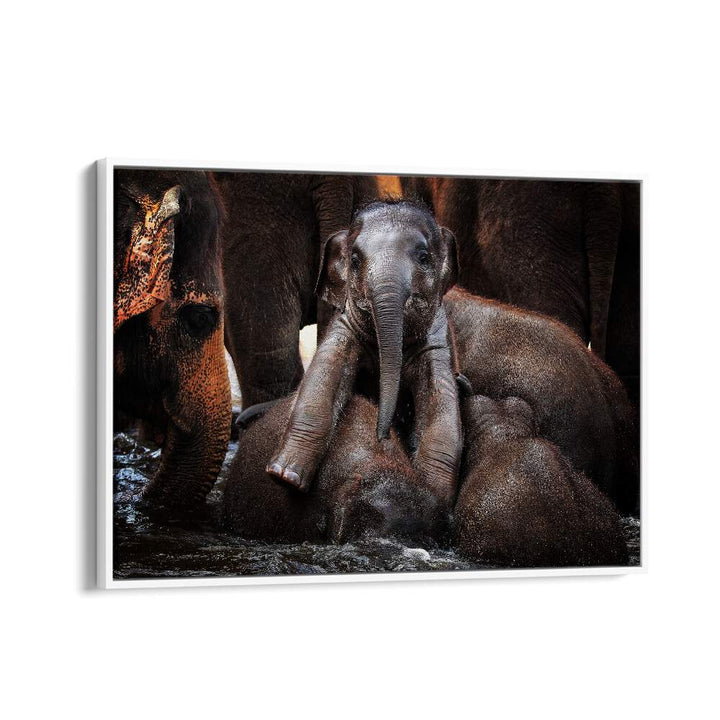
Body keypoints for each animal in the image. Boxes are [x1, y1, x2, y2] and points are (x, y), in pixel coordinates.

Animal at [265, 200, 463, 514]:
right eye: (356, 260)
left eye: (423, 257)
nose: (382, 434)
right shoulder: (344, 326)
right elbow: (322, 380)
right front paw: (285, 477)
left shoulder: (438, 342)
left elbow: (441, 415)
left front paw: (434, 499)